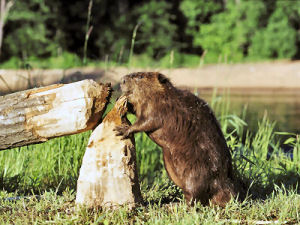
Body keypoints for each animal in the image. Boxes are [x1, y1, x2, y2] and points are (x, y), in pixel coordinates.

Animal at [115, 71, 237, 206]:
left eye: (140, 76)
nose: (122, 80)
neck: (164, 96)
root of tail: (224, 184)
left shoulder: (161, 108)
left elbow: (147, 122)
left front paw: (123, 130)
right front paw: (120, 100)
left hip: (196, 173)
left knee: (194, 197)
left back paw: (174, 205)